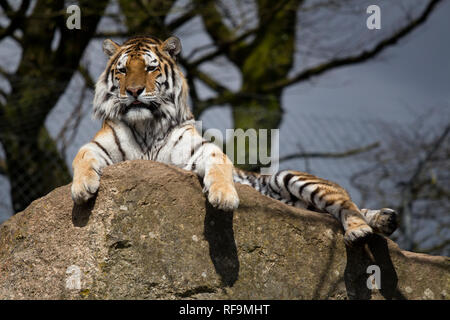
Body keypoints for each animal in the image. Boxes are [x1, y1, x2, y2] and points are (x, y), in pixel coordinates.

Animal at [72, 35, 400, 245]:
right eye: (122, 70)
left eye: (151, 68)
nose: (133, 91)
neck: (147, 124)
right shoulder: (98, 145)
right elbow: (82, 157)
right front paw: (82, 189)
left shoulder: (201, 150)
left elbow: (219, 166)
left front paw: (224, 197)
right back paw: (384, 220)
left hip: (290, 177)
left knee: (344, 201)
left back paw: (362, 229)